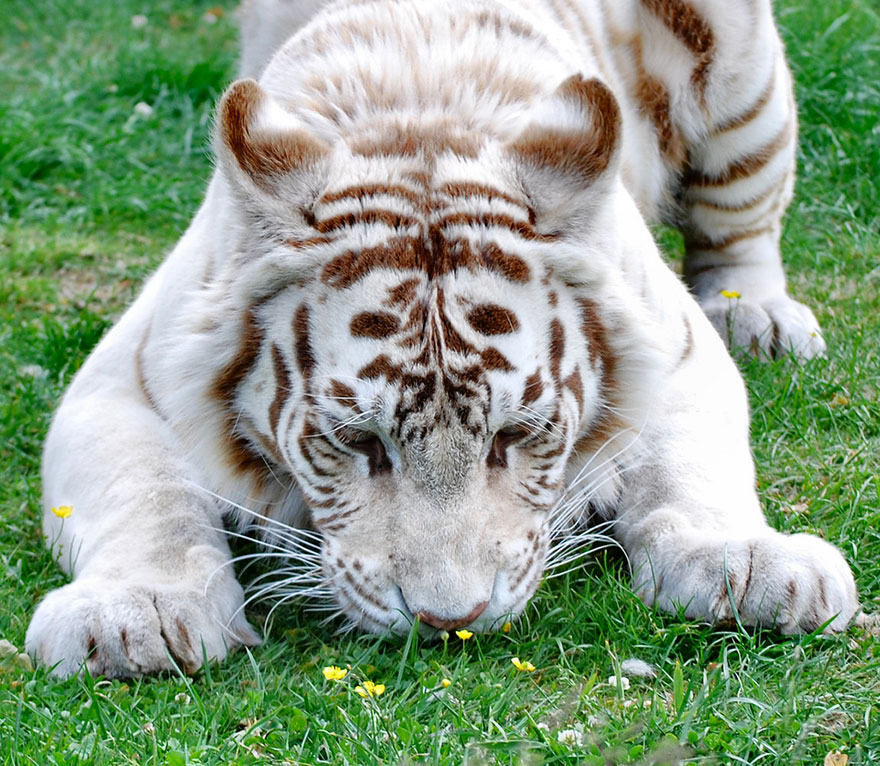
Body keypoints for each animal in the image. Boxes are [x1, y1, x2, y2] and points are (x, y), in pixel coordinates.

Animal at [29, 0, 860, 680]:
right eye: (356, 441)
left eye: (517, 435)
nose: (449, 621)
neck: (417, 116)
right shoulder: (121, 380)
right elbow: (147, 494)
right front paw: (134, 614)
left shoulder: (679, 350)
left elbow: (689, 471)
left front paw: (748, 563)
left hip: (744, 82)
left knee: (742, 225)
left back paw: (760, 316)